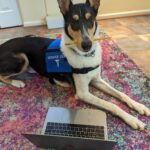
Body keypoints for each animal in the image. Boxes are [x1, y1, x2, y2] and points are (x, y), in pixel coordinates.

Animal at [0, 0, 149, 129]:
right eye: (74, 22)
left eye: (90, 19)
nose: (87, 44)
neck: (86, 56)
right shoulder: (83, 93)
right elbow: (112, 105)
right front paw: (132, 119)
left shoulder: (97, 80)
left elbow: (121, 94)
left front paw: (139, 106)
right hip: (23, 59)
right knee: (2, 75)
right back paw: (17, 82)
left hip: (29, 37)